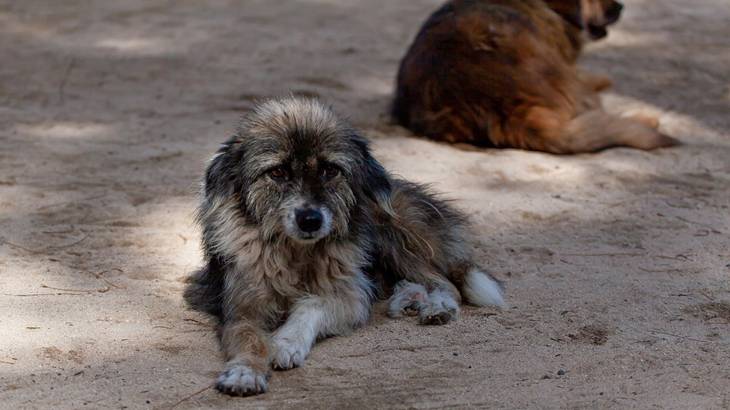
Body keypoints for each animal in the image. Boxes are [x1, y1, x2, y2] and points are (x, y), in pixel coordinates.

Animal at [186, 97, 506, 398]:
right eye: (277, 173)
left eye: (330, 170)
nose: (310, 220)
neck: (296, 254)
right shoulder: (241, 307)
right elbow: (249, 339)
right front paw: (245, 372)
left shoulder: (349, 295)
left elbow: (313, 304)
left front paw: (287, 342)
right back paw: (407, 297)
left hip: (393, 234)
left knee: (444, 282)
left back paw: (436, 306)